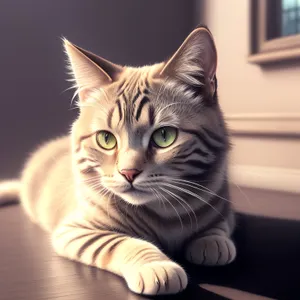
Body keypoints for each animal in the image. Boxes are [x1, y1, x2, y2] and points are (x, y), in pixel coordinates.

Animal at [0, 25, 236, 296]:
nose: (128, 172)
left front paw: (213, 241)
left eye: (164, 136)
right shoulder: (75, 231)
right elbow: (121, 242)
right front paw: (156, 265)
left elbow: (218, 224)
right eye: (106, 139)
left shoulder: (225, 209)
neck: (165, 213)